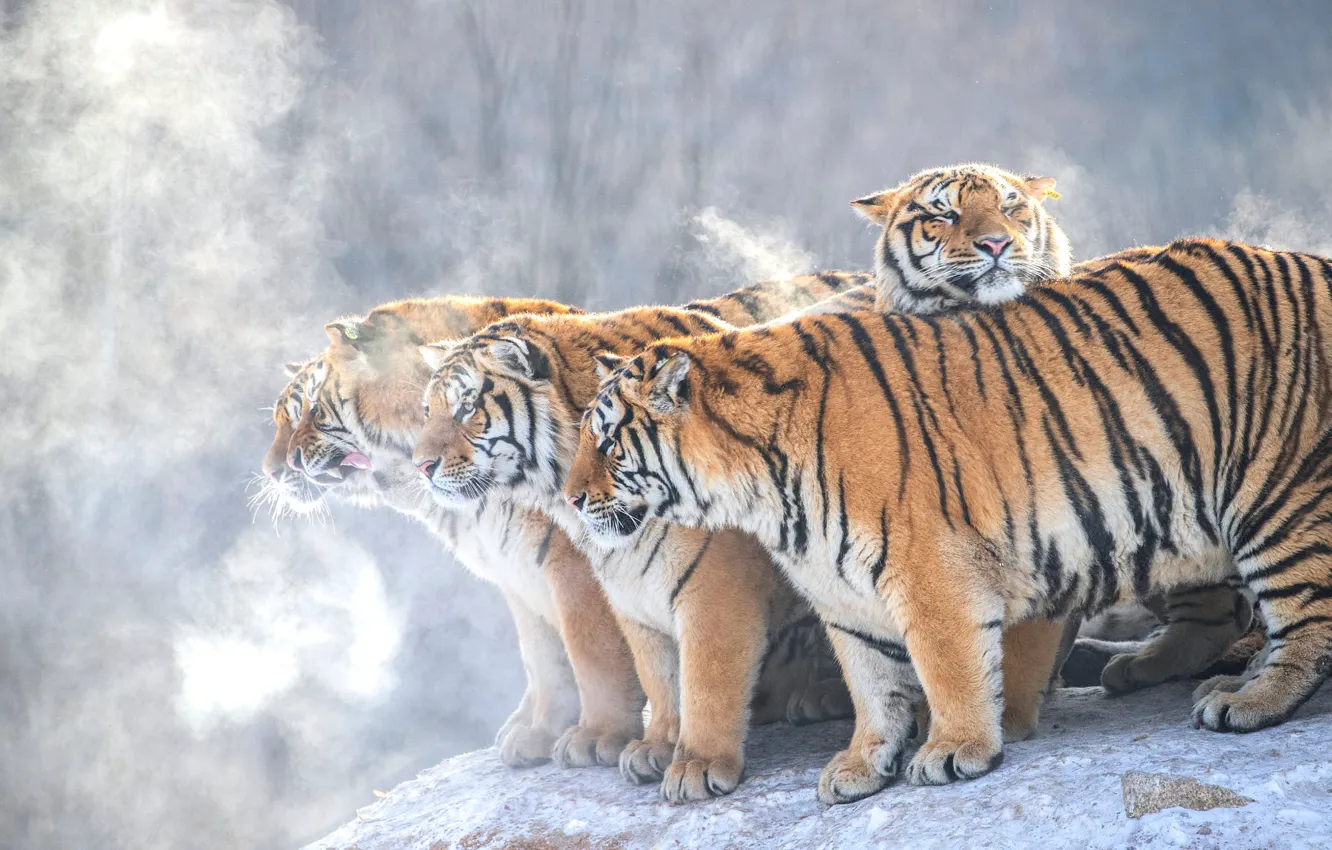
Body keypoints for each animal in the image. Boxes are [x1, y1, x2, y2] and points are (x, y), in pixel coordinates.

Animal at [266, 295, 647, 770]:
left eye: (313, 411)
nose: (273, 471)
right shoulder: (516, 569)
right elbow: (542, 656)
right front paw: (534, 730)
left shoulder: (568, 564)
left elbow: (592, 649)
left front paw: (595, 736)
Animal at [412, 304, 857, 804]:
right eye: (428, 412)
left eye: (467, 407)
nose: (420, 466)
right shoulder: (626, 586)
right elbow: (650, 674)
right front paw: (654, 745)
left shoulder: (711, 589)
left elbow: (682, 675)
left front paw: (681, 760)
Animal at [571, 238, 1332, 805]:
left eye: (607, 443)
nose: (574, 499)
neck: (758, 492)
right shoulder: (840, 592)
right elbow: (871, 685)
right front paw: (860, 766)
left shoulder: (933, 573)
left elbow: (948, 668)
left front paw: (954, 749)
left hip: (1276, 494)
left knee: (1305, 620)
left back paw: (1249, 700)